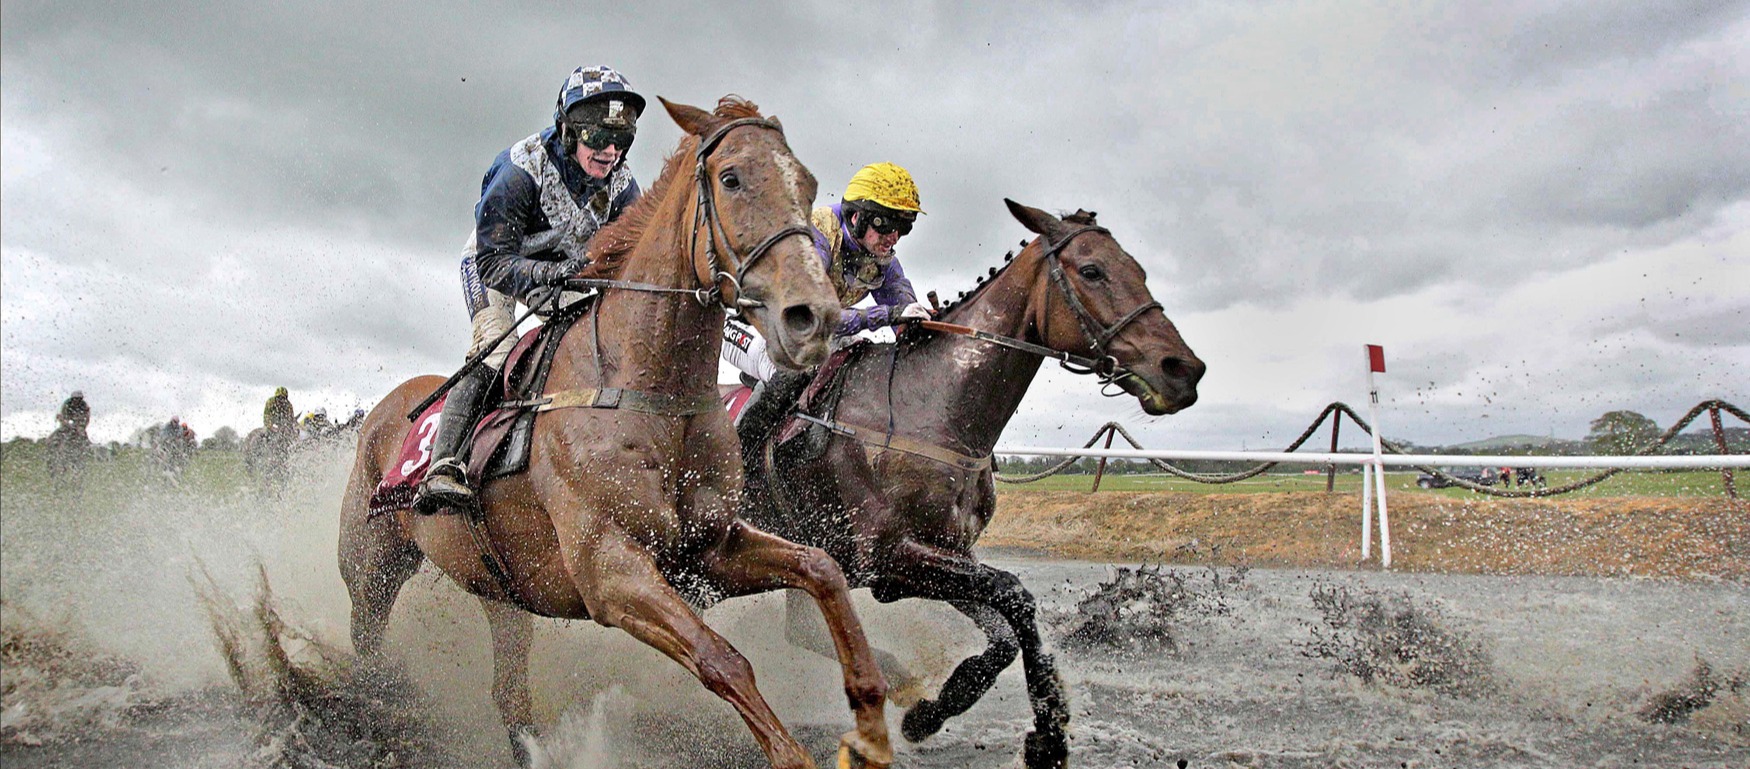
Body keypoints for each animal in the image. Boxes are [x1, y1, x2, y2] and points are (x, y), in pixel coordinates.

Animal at [336, 97, 896, 769]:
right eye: (731, 178)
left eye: (807, 185)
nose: (815, 317)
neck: (646, 388)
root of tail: (382, 413)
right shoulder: (611, 574)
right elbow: (723, 660)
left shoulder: (709, 547)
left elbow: (822, 568)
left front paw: (871, 723)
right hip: (373, 568)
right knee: (369, 649)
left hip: (500, 593)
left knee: (509, 693)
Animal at [738, 200, 1204, 769]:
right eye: (1092, 271)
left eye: (1138, 269)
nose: (1183, 370)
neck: (933, 408)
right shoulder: (892, 557)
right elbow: (1017, 596)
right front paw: (1047, 735)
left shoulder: (944, 555)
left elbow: (1006, 633)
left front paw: (933, 710)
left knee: (801, 628)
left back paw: (902, 684)